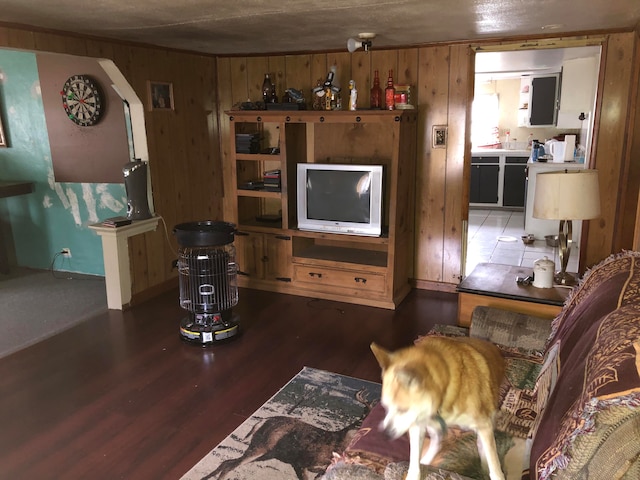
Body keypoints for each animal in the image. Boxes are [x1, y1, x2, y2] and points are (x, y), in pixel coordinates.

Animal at [370, 336, 504, 480]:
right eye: (385, 407)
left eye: (402, 409)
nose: (384, 435)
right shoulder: (417, 423)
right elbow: (414, 460)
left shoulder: (484, 424)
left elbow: (494, 464)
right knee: (437, 442)